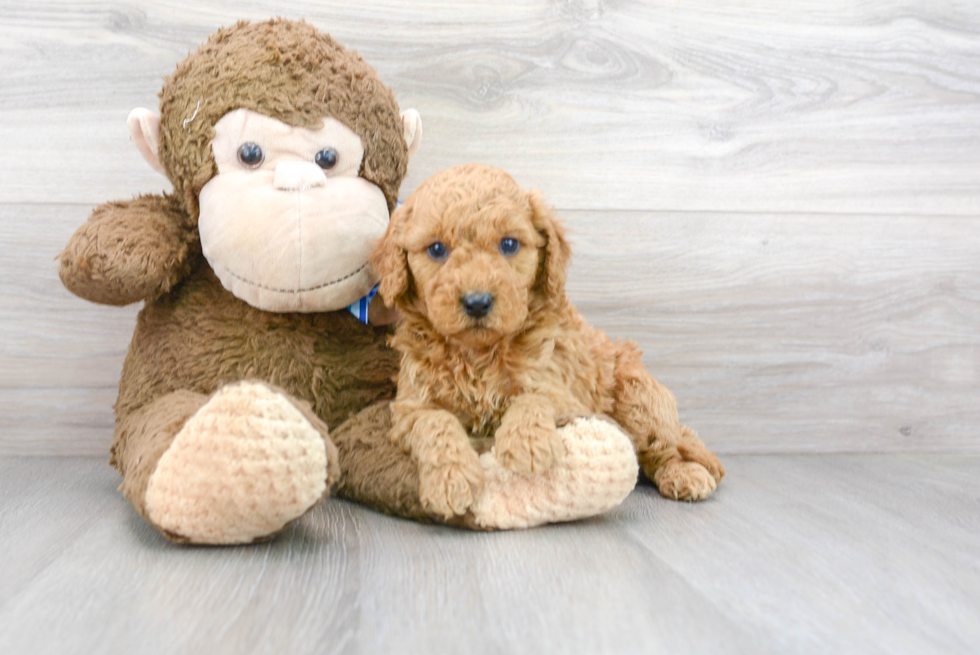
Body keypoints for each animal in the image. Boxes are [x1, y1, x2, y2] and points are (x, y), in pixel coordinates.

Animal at [372, 165, 724, 524]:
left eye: (509, 244)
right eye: (436, 249)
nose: (477, 302)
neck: (479, 353)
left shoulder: (562, 390)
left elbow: (534, 397)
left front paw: (526, 443)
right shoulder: (410, 408)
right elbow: (434, 422)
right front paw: (450, 480)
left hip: (639, 398)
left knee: (665, 449)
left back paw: (685, 474)